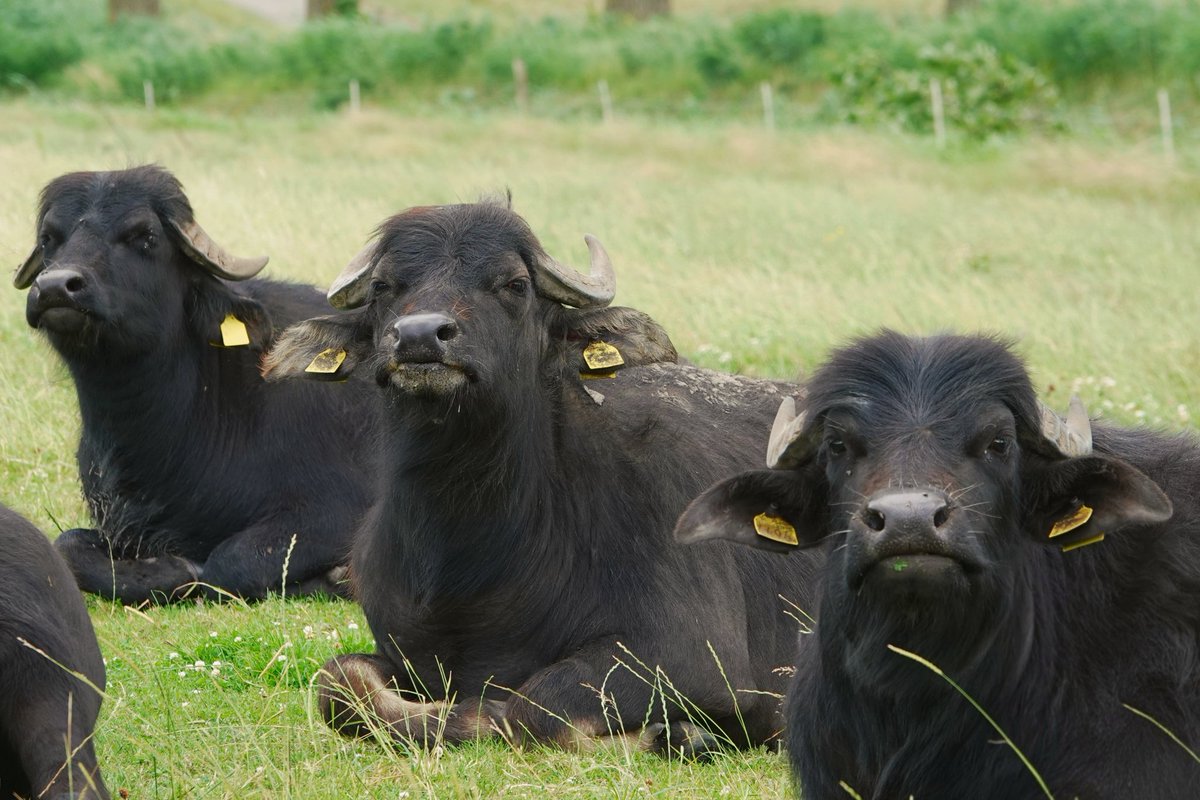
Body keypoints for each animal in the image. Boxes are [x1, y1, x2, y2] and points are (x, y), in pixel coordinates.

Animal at [16, 165, 376, 605]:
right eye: (48, 238)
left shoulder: (335, 508)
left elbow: (227, 564)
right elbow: (66, 545)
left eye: (145, 236)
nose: (55, 287)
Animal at [261, 198, 815, 756]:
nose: (419, 336)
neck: (469, 562)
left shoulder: (689, 655)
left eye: (514, 284)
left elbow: (531, 708)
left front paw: (671, 731)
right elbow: (338, 682)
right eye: (382, 286)